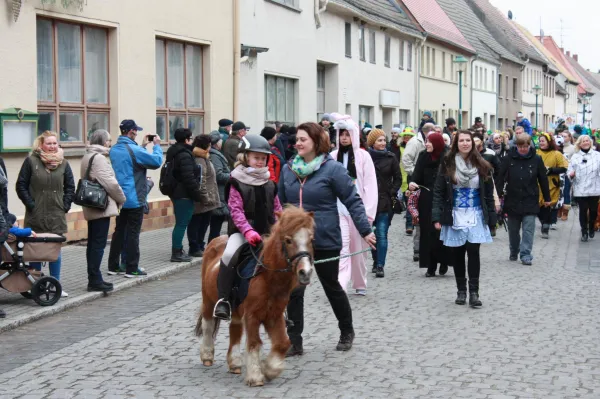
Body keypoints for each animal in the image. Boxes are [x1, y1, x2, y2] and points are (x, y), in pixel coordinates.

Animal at [196, 206, 316, 388]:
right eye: (288, 240)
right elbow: (254, 343)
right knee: (208, 325)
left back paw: (235, 363)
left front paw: (269, 369)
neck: (268, 277)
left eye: (310, 239)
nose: (305, 272)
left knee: (235, 329)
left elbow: (283, 343)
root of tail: (215, 240)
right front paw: (255, 377)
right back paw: (207, 356)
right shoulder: (252, 316)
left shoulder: (274, 315)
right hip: (209, 301)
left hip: (236, 309)